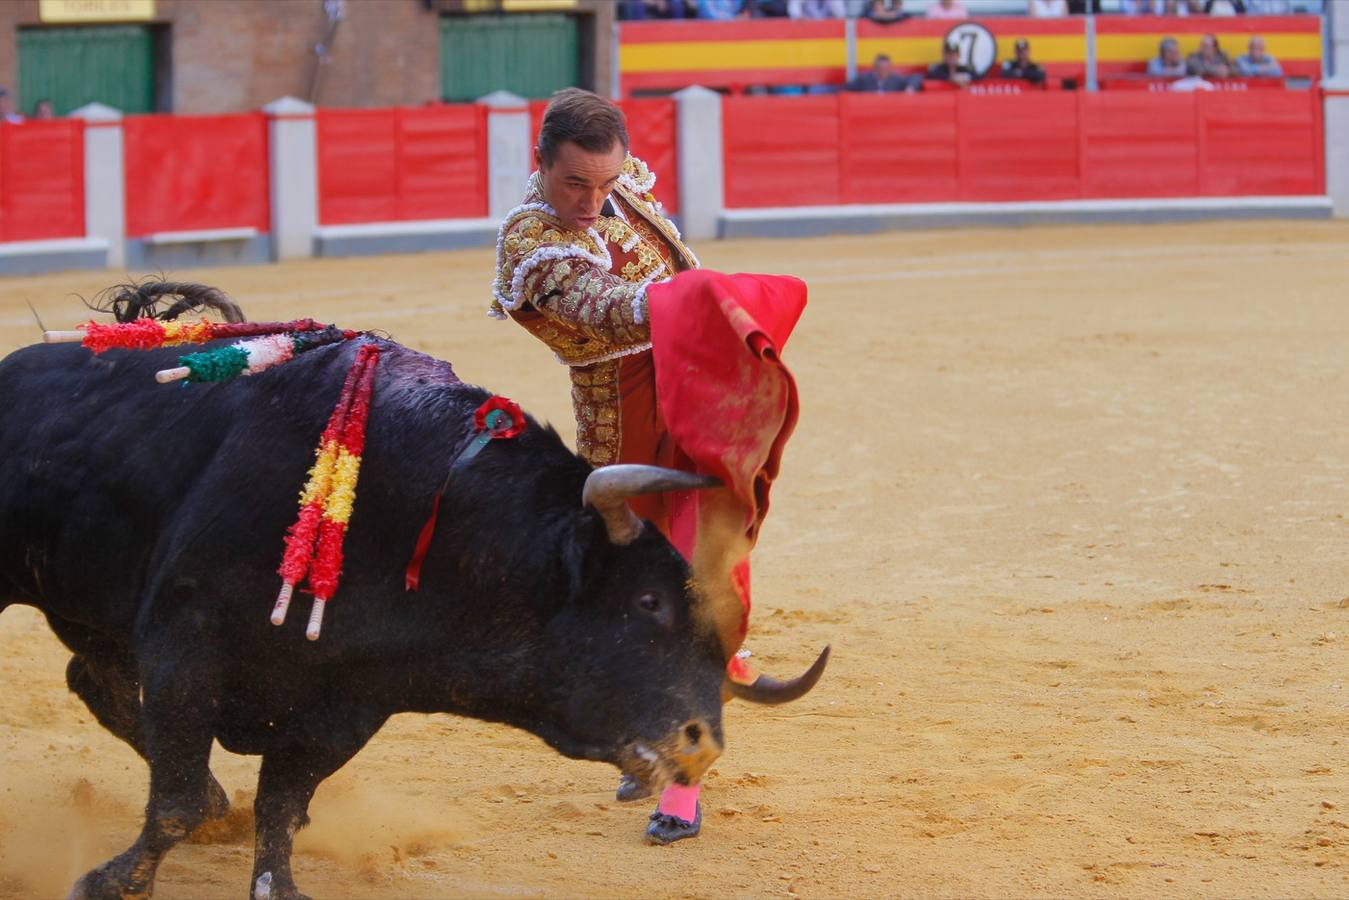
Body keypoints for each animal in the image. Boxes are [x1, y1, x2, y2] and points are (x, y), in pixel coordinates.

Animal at [0, 334, 825, 895]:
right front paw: (106, 882)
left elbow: (280, 806)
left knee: (91, 680)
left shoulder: (350, 702)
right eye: (647, 601)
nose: (701, 744)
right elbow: (171, 801)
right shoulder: (185, 646)